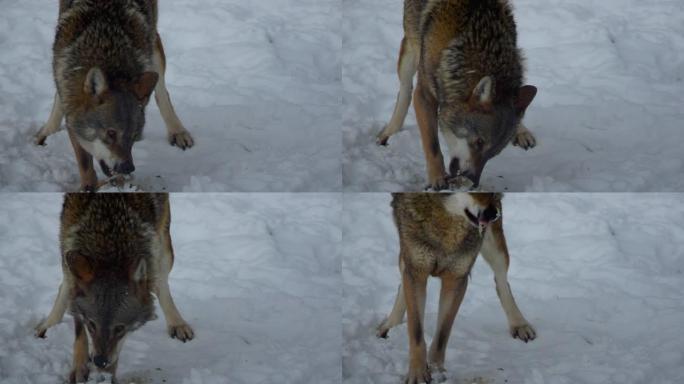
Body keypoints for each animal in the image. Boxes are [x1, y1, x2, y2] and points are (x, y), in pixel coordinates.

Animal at [35, 0, 195, 192]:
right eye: (111, 133)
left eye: (133, 135)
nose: (128, 167)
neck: (106, 50)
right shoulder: (72, 112)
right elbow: (85, 163)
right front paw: (88, 188)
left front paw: (120, 186)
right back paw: (46, 131)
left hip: (154, 46)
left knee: (162, 92)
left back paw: (178, 132)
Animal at [36, 194, 194, 382]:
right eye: (92, 325)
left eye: (119, 328)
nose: (100, 361)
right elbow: (79, 332)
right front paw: (80, 368)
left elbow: (117, 349)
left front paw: (106, 375)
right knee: (64, 286)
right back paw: (48, 325)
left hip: (163, 250)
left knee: (161, 284)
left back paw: (177, 324)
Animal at [376, 0, 536, 190]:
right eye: (479, 142)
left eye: (493, 153)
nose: (474, 181)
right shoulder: (424, 95)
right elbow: (432, 145)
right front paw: (437, 178)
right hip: (410, 49)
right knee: (404, 91)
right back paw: (388, 132)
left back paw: (522, 131)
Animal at [376, 194, 536, 382]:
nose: (493, 214)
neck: (446, 220)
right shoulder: (416, 269)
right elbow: (416, 330)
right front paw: (418, 375)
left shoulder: (457, 278)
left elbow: (442, 334)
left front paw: (437, 372)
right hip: (406, 253)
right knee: (402, 282)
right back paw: (389, 325)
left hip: (495, 248)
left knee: (502, 283)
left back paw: (520, 325)